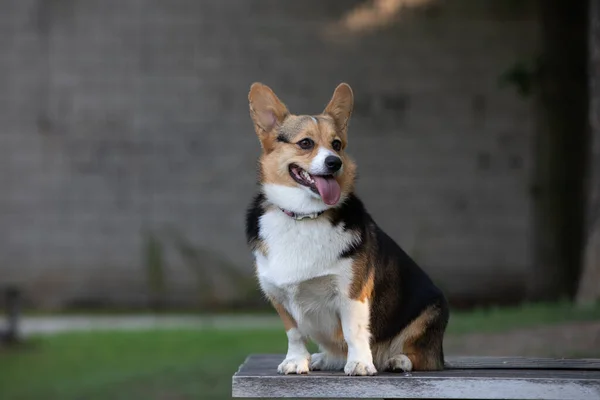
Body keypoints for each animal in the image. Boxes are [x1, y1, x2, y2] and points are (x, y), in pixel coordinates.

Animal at [246, 81, 448, 376]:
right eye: (305, 143)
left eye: (337, 144)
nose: (335, 162)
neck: (305, 216)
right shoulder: (279, 296)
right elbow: (294, 333)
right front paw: (296, 361)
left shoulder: (351, 291)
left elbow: (353, 330)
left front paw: (360, 363)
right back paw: (322, 358)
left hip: (429, 312)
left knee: (422, 357)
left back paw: (397, 360)